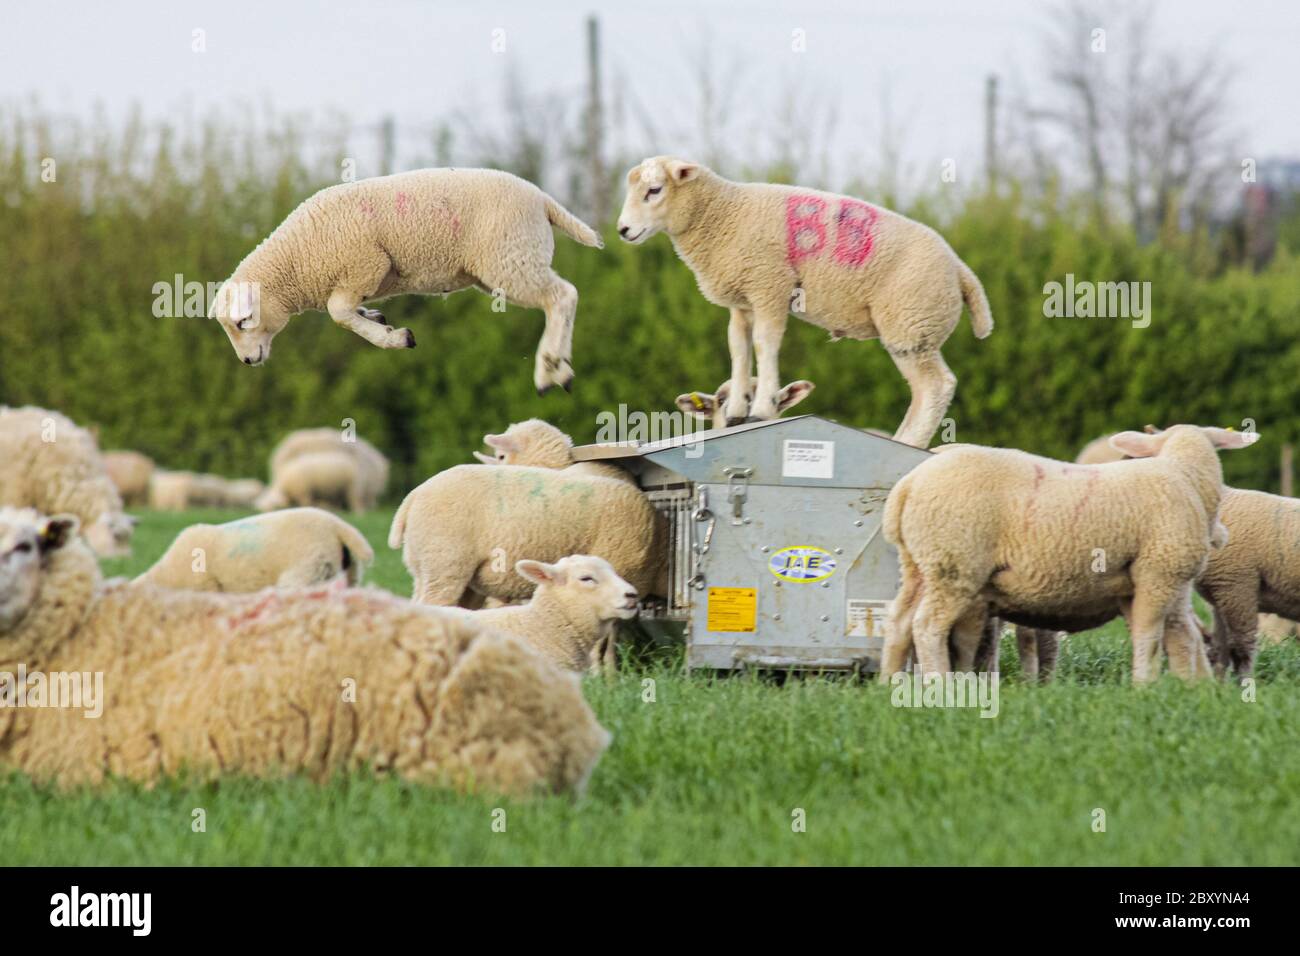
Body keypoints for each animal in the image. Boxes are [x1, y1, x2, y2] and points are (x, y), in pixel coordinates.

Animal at [209, 168, 602, 393]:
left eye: (243, 322)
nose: (247, 361)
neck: (296, 262)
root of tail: (543, 200)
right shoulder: (354, 279)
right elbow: (348, 311)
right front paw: (376, 319)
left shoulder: (365, 264)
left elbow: (338, 313)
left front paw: (396, 337)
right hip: (509, 263)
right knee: (563, 298)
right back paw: (562, 368)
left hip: (511, 258)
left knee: (562, 297)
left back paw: (549, 369)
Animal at [616, 157, 993, 448]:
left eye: (654, 190)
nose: (623, 230)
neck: (722, 213)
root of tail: (961, 270)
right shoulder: (742, 300)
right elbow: (739, 347)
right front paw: (737, 410)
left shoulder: (770, 285)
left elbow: (764, 343)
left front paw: (761, 409)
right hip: (912, 328)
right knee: (922, 390)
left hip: (911, 324)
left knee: (936, 387)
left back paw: (910, 443)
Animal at [879, 425, 1258, 684]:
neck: (1186, 477)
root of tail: (908, 485)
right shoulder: (1159, 574)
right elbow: (1151, 635)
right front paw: (1146, 686)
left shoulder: (1162, 582)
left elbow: (1180, 636)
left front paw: (1191, 689)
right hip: (954, 565)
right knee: (927, 626)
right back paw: (940, 686)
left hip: (919, 565)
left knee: (899, 622)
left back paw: (889, 685)